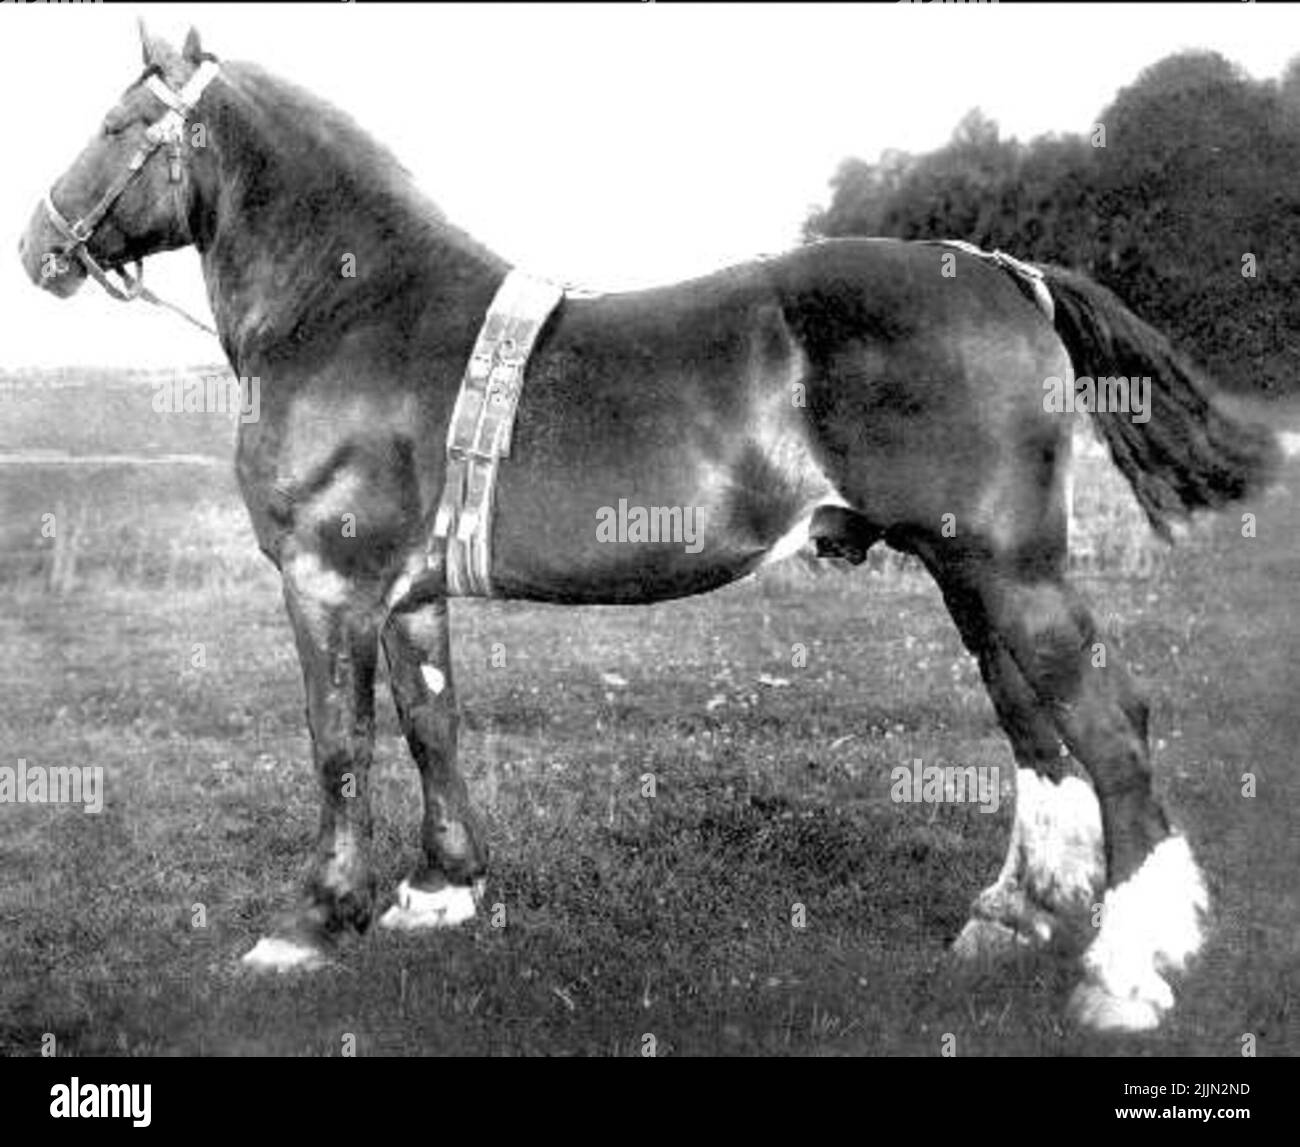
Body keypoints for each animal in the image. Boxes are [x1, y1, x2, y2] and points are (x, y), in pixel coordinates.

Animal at [17, 26, 1279, 1029]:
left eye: (119, 122)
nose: (39, 244)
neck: (354, 310)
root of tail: (1005, 271)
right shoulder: (407, 593)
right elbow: (432, 727)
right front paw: (442, 892)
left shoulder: (326, 583)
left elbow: (339, 747)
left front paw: (309, 922)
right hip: (968, 574)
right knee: (1033, 729)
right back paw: (1011, 915)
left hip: (1011, 568)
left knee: (1109, 729)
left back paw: (1126, 974)